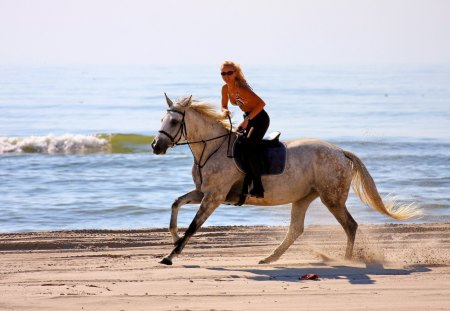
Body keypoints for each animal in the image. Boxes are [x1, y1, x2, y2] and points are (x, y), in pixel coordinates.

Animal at [152, 94, 422, 266]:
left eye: (174, 121)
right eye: (161, 120)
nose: (156, 146)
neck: (213, 149)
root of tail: (340, 152)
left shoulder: (214, 197)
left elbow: (193, 226)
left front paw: (170, 256)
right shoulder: (203, 192)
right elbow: (176, 204)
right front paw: (174, 238)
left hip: (331, 198)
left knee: (350, 225)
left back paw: (346, 260)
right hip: (304, 197)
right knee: (296, 229)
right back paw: (270, 258)